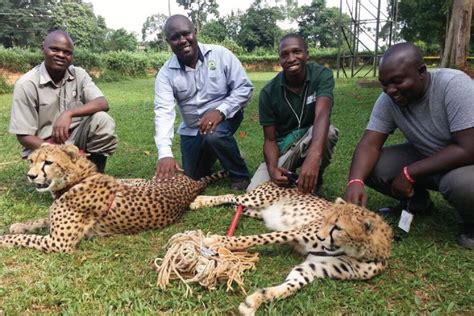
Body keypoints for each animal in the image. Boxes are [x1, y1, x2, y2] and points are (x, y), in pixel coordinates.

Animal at [0, 143, 226, 252]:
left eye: (48, 162)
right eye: (31, 161)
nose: (30, 176)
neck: (78, 179)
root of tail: (191, 182)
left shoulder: (59, 243)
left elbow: (24, 239)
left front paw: (4, 239)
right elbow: (41, 220)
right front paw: (20, 225)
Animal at [189, 181, 392, 314]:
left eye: (338, 228)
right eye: (325, 220)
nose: (321, 237)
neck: (353, 252)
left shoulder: (315, 267)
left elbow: (293, 284)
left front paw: (257, 300)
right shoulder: (296, 232)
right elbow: (256, 239)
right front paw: (219, 241)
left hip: (254, 211)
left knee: (235, 204)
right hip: (256, 199)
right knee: (232, 196)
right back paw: (200, 200)